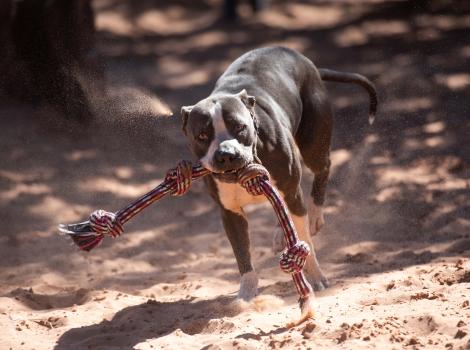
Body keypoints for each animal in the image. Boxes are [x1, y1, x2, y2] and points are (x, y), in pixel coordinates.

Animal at [180, 46, 378, 300]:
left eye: (240, 127)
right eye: (202, 136)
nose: (226, 154)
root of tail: (307, 62)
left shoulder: (292, 192)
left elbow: (303, 240)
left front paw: (316, 277)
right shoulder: (230, 213)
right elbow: (242, 255)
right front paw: (246, 293)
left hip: (313, 143)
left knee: (323, 168)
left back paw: (314, 215)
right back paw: (281, 232)